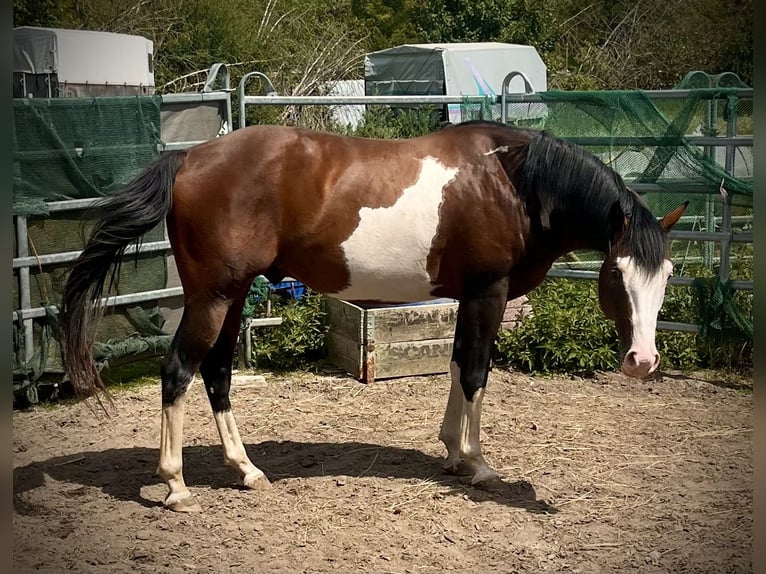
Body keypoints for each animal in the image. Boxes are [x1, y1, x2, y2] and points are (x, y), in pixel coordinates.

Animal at [58, 120, 687, 512]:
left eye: (667, 274)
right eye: (617, 276)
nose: (642, 360)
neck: (510, 181)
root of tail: (189, 157)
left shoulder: (464, 298)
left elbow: (456, 366)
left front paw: (452, 453)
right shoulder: (488, 293)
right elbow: (476, 372)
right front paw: (478, 464)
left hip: (231, 298)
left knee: (216, 375)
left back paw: (246, 470)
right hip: (212, 297)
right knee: (178, 373)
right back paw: (176, 486)